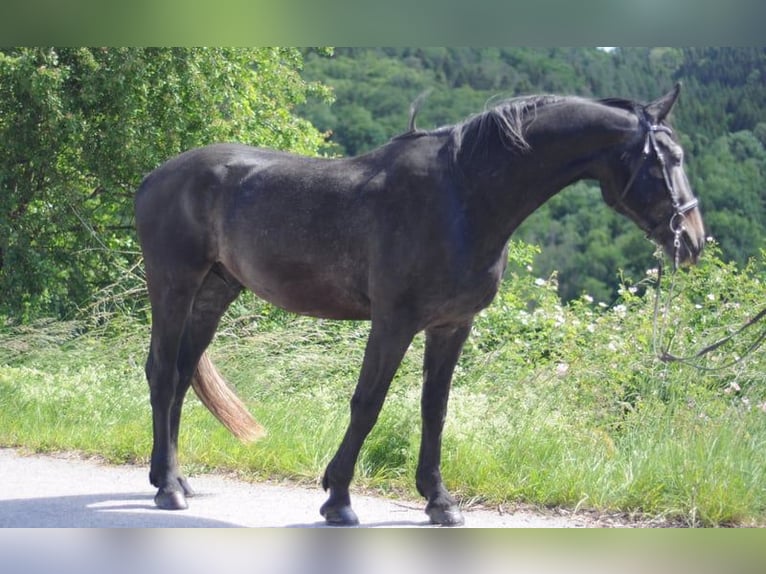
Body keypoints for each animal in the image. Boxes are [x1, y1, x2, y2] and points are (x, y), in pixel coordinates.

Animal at [135, 83, 704, 528]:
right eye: (670, 160)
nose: (695, 241)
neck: (462, 198)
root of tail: (155, 177)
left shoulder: (451, 326)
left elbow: (435, 409)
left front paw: (439, 500)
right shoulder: (393, 323)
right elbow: (367, 404)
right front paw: (338, 498)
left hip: (213, 293)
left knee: (181, 376)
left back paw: (173, 476)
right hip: (174, 286)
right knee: (162, 372)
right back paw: (169, 489)